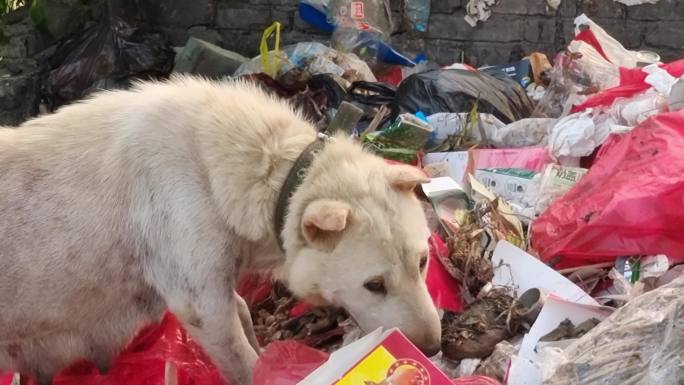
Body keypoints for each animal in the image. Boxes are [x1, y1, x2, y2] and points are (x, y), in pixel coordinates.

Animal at [0, 73, 440, 382]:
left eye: (423, 263)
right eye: (374, 285)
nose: (434, 348)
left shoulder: (219, 284)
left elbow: (244, 314)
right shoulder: (202, 308)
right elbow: (242, 362)